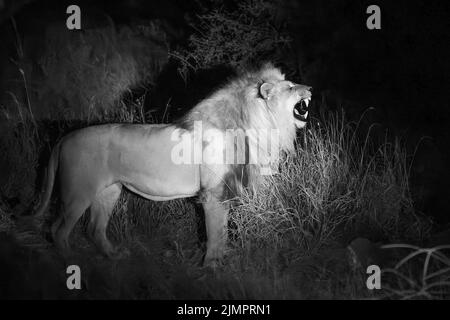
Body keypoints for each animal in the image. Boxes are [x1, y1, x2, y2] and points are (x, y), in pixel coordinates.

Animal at [33, 63, 312, 264]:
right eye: (290, 87)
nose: (309, 88)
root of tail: (63, 138)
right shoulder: (213, 194)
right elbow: (216, 233)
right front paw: (211, 267)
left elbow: (222, 233)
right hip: (78, 193)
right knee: (58, 230)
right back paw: (70, 260)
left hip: (108, 191)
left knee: (94, 229)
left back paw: (113, 256)